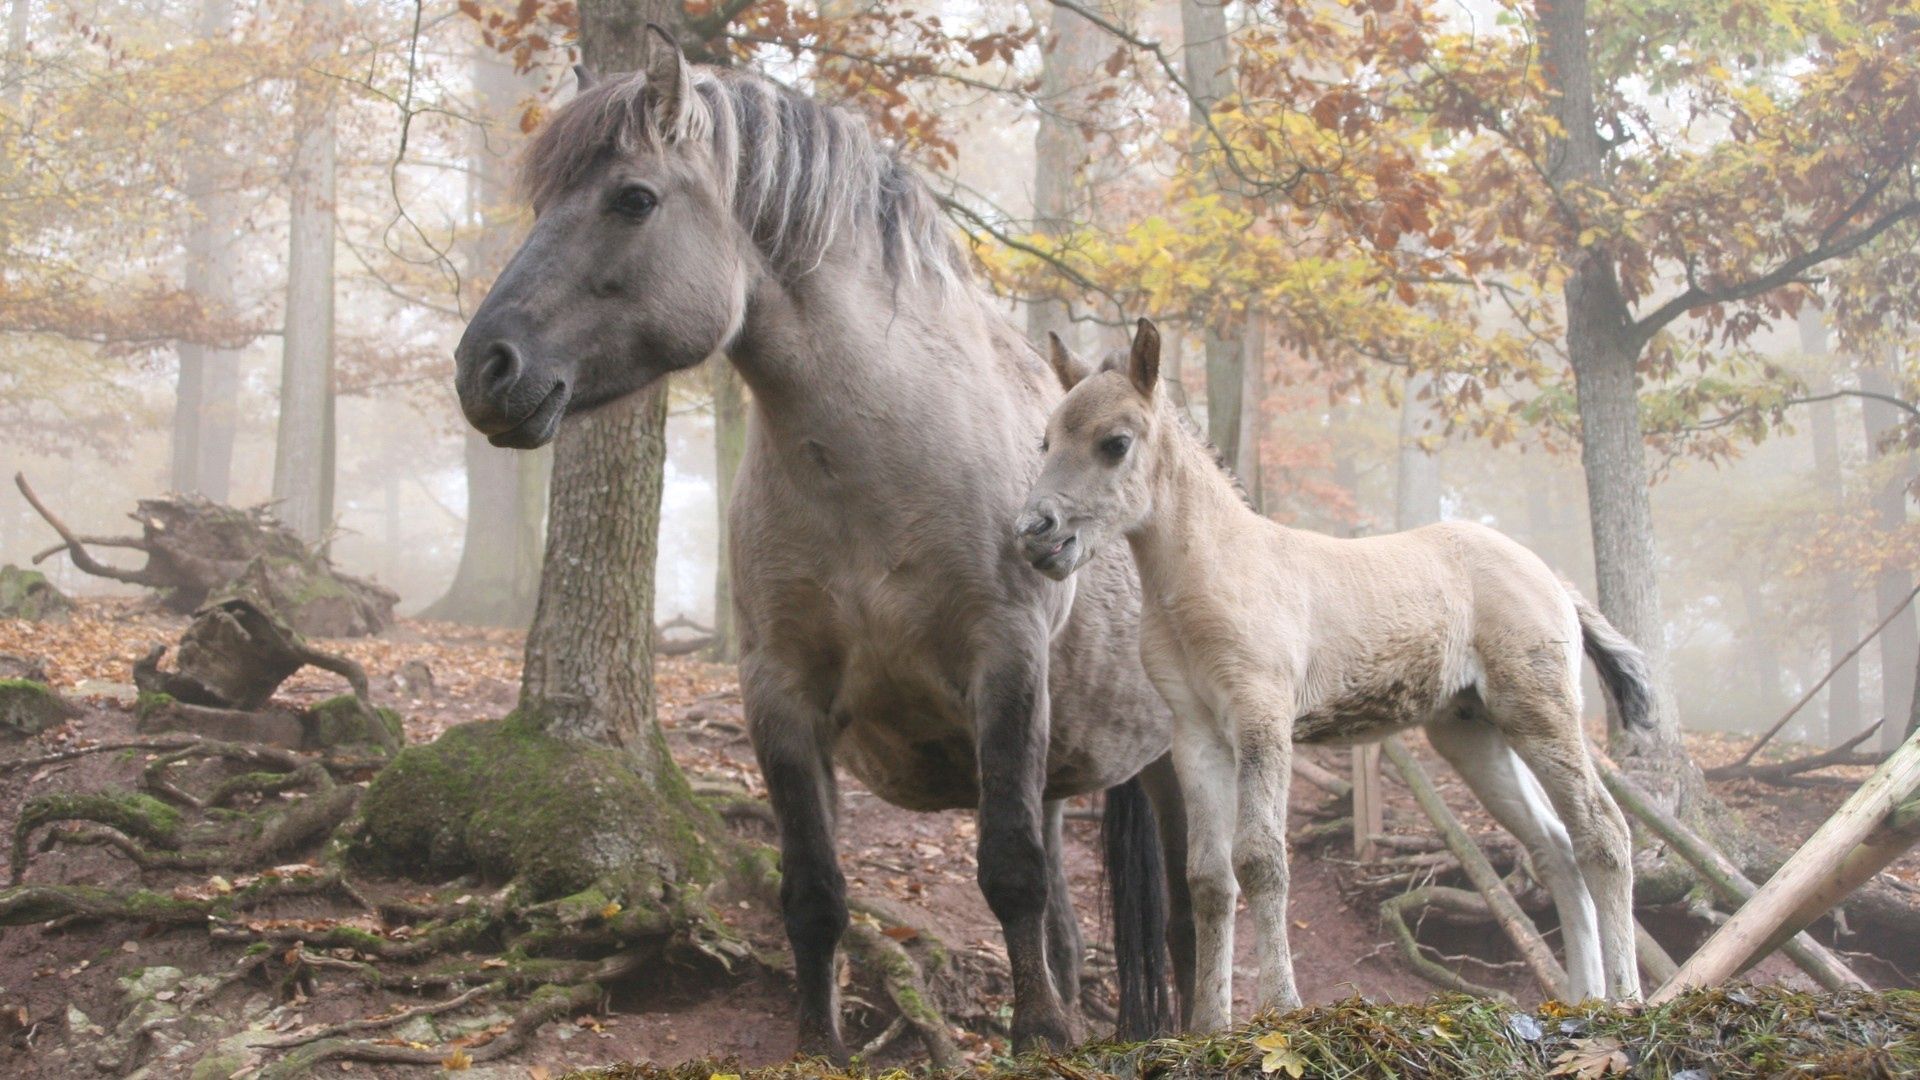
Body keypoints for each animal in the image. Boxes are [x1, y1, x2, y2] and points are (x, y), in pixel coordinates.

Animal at [456, 29, 1190, 1053]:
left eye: (633, 198)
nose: (484, 370)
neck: (878, 468)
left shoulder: (1004, 663)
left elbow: (1009, 872)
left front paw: (1040, 1039)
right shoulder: (780, 692)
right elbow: (814, 893)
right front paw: (820, 1044)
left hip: (1173, 764)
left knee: (1195, 912)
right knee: (1072, 922)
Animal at [1021, 317, 1651, 1014]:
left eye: (1115, 443)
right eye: (1047, 440)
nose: (1035, 532)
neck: (1210, 574)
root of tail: (1553, 580)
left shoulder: (1262, 719)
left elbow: (1261, 860)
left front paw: (1282, 1007)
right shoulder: (1196, 736)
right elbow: (1209, 877)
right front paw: (1210, 1022)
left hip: (1539, 712)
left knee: (1604, 833)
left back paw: (1626, 998)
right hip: (1472, 732)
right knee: (1555, 848)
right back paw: (1584, 1004)